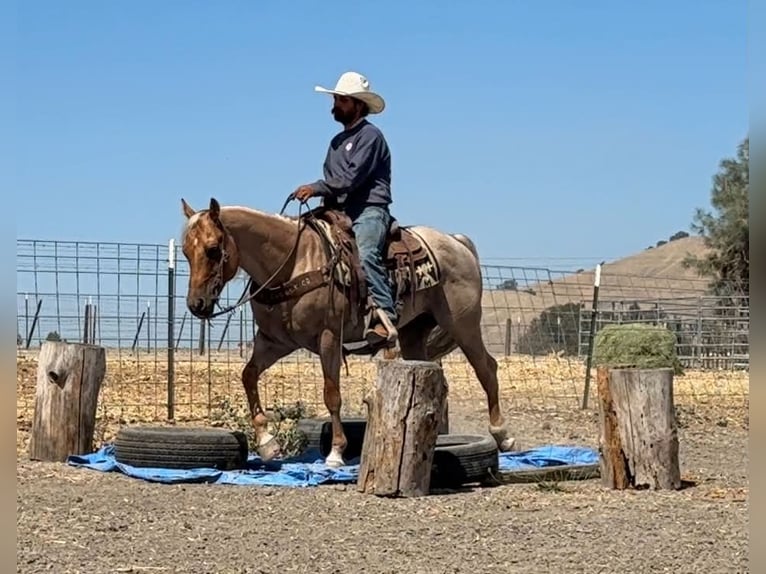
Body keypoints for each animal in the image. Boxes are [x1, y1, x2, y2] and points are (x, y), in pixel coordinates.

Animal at [179, 197, 516, 467]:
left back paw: (502, 435)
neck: (293, 262)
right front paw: (267, 444)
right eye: (184, 251)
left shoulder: (329, 337)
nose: (197, 304)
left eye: (212, 250)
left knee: (487, 369)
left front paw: (336, 453)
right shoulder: (275, 342)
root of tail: (457, 242)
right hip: (413, 334)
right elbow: (248, 375)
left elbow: (332, 395)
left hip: (463, 324)